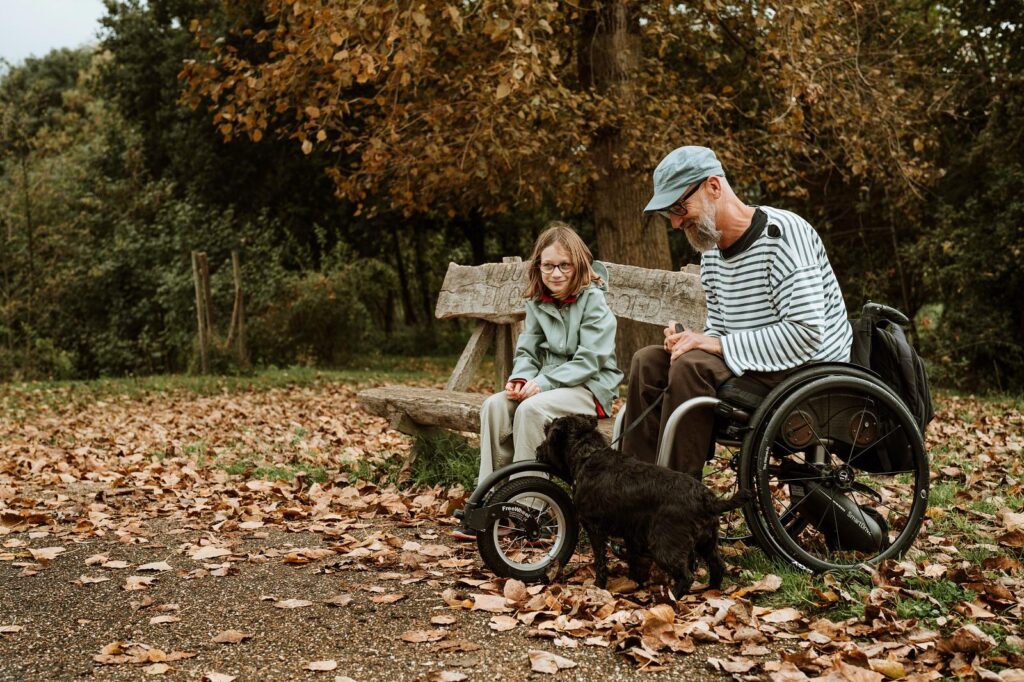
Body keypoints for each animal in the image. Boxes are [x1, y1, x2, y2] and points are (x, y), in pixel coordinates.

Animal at [536, 409, 753, 593]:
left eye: (546, 435)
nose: (537, 450)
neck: (588, 455)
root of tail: (707, 499)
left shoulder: (595, 529)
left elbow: (600, 561)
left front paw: (599, 585)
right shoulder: (631, 532)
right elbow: (634, 559)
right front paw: (635, 582)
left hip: (664, 545)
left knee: (686, 576)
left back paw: (672, 598)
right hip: (707, 541)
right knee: (718, 566)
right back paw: (710, 591)